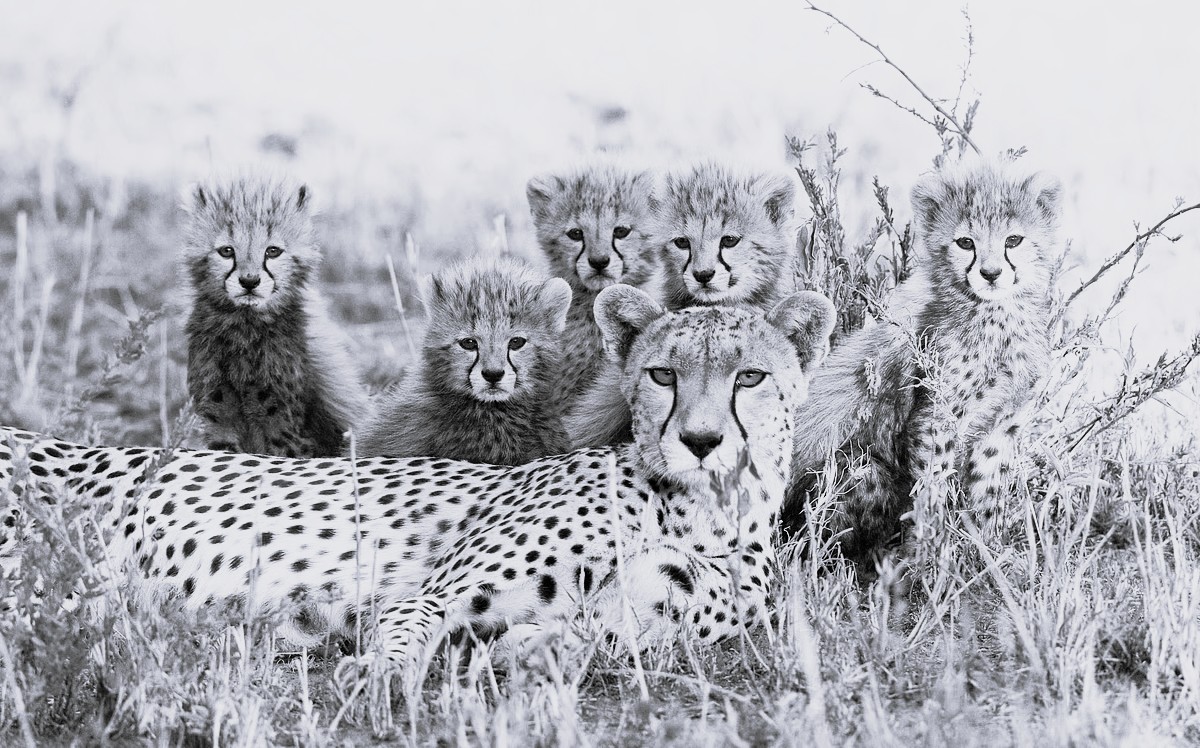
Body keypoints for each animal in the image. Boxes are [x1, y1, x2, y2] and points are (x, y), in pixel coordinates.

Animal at [0, 284, 836, 677]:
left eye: (750, 377)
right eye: (663, 374)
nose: (700, 441)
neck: (704, 509)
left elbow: (589, 635)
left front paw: (530, 655)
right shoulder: (427, 595)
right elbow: (407, 633)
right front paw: (375, 676)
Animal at [183, 176, 367, 458]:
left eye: (272, 251)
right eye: (227, 251)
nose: (249, 281)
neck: (244, 328)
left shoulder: (284, 427)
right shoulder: (219, 419)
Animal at [780, 159, 1061, 564]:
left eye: (1013, 241)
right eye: (965, 243)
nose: (991, 274)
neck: (997, 316)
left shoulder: (1002, 425)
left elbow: (989, 490)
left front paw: (989, 553)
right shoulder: (935, 419)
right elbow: (933, 486)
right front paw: (930, 554)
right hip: (858, 470)